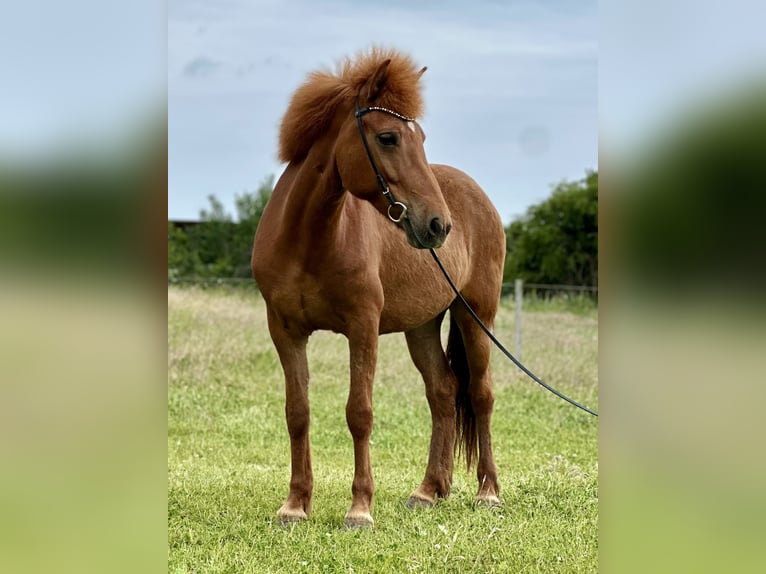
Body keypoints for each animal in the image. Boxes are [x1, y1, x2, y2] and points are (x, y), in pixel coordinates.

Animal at [251, 47, 506, 528]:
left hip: (476, 316)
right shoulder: (285, 330)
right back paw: (428, 490)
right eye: (388, 137)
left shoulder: (363, 327)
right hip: (422, 326)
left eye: (421, 137)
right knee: (443, 393)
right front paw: (295, 504)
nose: (438, 225)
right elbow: (298, 413)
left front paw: (360, 509)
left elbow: (360, 412)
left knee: (480, 396)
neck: (309, 241)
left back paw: (488, 493)